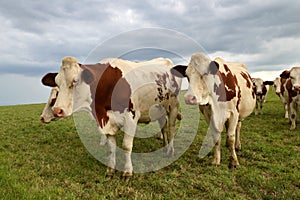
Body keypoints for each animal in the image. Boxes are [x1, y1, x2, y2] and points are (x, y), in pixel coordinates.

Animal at [41, 56, 183, 180]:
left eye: (75, 81)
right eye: (57, 83)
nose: (57, 110)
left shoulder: (131, 117)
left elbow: (126, 146)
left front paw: (127, 172)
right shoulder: (107, 121)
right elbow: (111, 147)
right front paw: (110, 170)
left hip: (173, 107)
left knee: (171, 128)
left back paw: (170, 151)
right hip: (159, 109)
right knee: (163, 127)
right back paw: (164, 147)